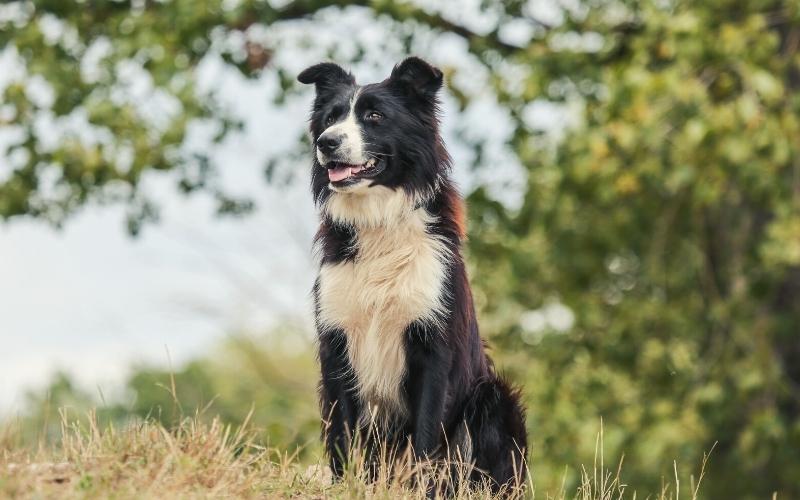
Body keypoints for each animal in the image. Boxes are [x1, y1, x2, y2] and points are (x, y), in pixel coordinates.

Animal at [296, 56, 528, 490]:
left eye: (374, 116)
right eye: (331, 117)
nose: (326, 143)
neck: (379, 220)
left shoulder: (431, 346)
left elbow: (424, 433)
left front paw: (420, 489)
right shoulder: (337, 342)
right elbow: (342, 431)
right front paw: (345, 486)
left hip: (493, 398)